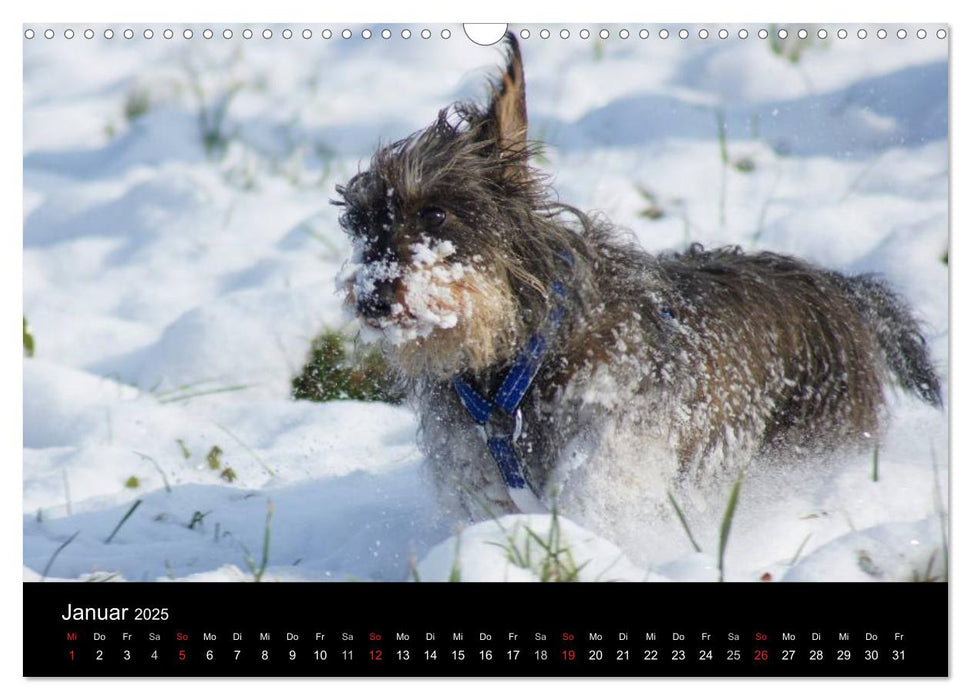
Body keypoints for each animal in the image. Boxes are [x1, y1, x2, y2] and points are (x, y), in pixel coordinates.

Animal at [334, 32, 940, 532]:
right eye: (361, 224)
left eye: (435, 214)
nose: (372, 299)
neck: (519, 362)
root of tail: (840, 287)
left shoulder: (619, 440)